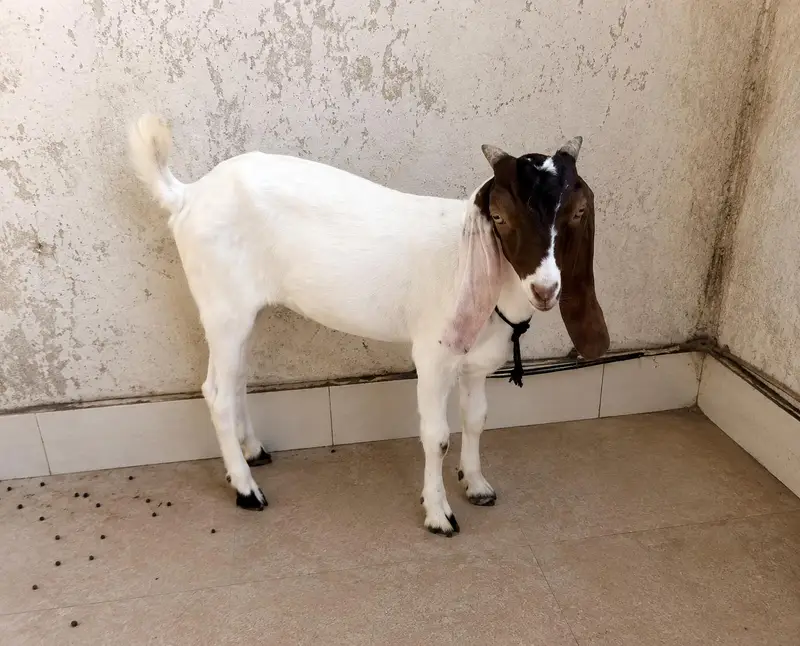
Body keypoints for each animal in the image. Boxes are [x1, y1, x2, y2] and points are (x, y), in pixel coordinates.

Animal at [128, 114, 609, 536]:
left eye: (577, 212)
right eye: (501, 217)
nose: (546, 290)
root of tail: (187, 195)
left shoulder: (476, 361)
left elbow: (475, 420)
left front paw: (476, 485)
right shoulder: (434, 355)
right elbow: (436, 436)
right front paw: (438, 514)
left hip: (245, 312)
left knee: (237, 378)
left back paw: (254, 452)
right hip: (222, 307)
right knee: (216, 392)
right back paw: (246, 490)